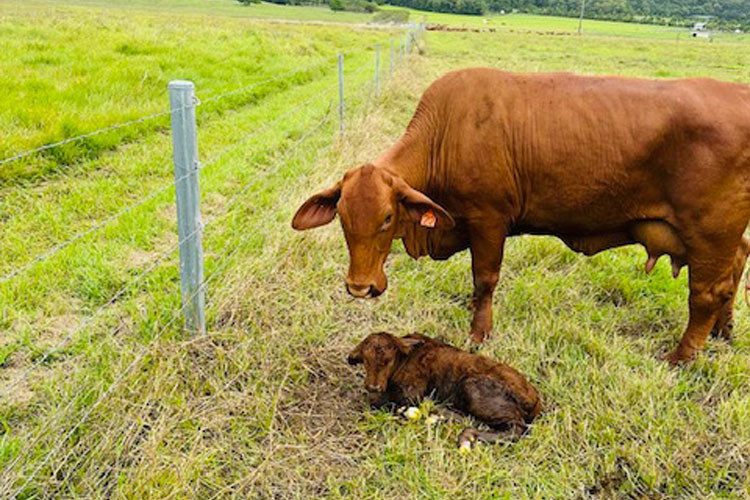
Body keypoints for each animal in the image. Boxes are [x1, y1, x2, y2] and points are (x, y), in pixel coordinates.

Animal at [292, 68, 750, 362]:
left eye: (387, 218)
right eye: (343, 218)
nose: (360, 287)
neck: (446, 133)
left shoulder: (488, 220)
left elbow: (484, 280)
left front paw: (479, 333)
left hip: (710, 232)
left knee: (705, 294)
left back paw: (682, 356)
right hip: (725, 236)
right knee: (735, 270)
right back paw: (724, 330)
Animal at [350, 332, 544, 446]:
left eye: (388, 360)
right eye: (365, 360)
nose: (373, 386)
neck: (404, 359)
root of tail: (536, 401)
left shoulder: (412, 391)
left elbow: (383, 402)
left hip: (472, 388)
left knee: (516, 429)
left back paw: (464, 434)